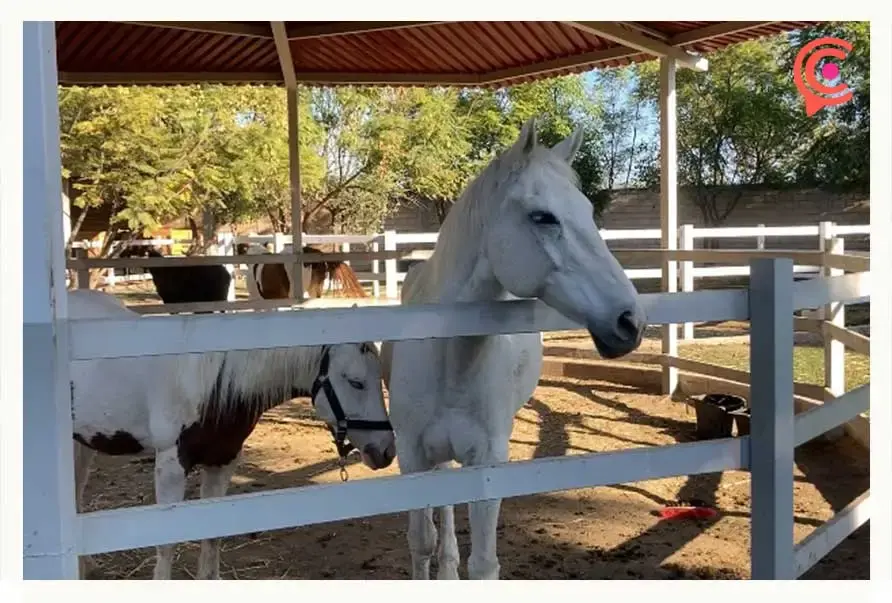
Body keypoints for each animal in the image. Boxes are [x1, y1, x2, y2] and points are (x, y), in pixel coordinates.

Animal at [69, 289, 395, 580]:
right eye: (356, 382)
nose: (386, 451)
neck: (211, 387)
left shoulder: (222, 462)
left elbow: (214, 534)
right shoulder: (170, 466)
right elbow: (167, 542)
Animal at [379, 119, 647, 580]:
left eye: (588, 212)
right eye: (542, 217)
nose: (629, 321)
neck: (451, 362)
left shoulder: (488, 464)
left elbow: (483, 563)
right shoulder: (412, 455)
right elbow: (421, 542)